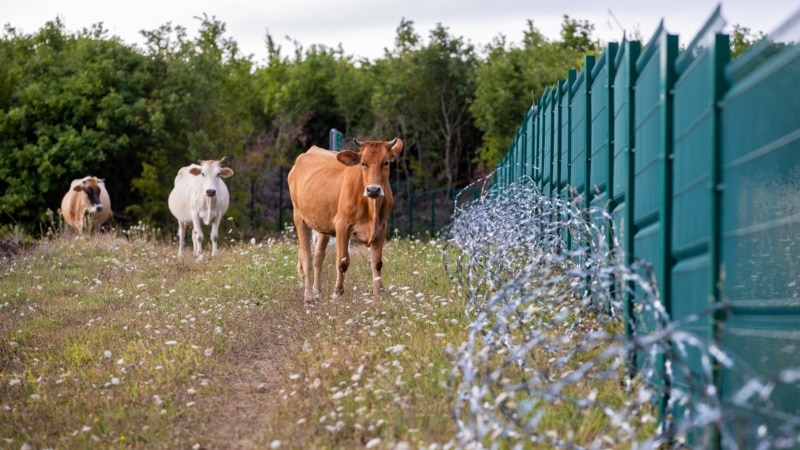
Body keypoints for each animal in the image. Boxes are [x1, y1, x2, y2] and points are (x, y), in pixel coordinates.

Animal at [288, 137, 404, 298]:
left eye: (386, 162)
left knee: (318, 257)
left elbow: (377, 262)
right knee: (307, 259)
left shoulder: (382, 227)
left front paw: (379, 293)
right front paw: (338, 292)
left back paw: (317, 292)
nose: (373, 189)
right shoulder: (342, 226)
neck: (371, 208)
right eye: (363, 163)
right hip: (299, 216)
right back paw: (309, 296)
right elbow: (342, 262)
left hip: (322, 225)